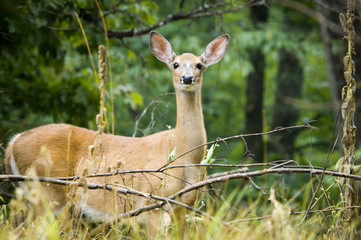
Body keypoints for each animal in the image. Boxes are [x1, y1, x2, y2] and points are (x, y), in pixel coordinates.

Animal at [4, 31, 228, 238]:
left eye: (200, 65)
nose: (187, 78)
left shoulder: (185, 205)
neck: (184, 154)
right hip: (47, 191)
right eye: (175, 64)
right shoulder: (152, 200)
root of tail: (13, 142)